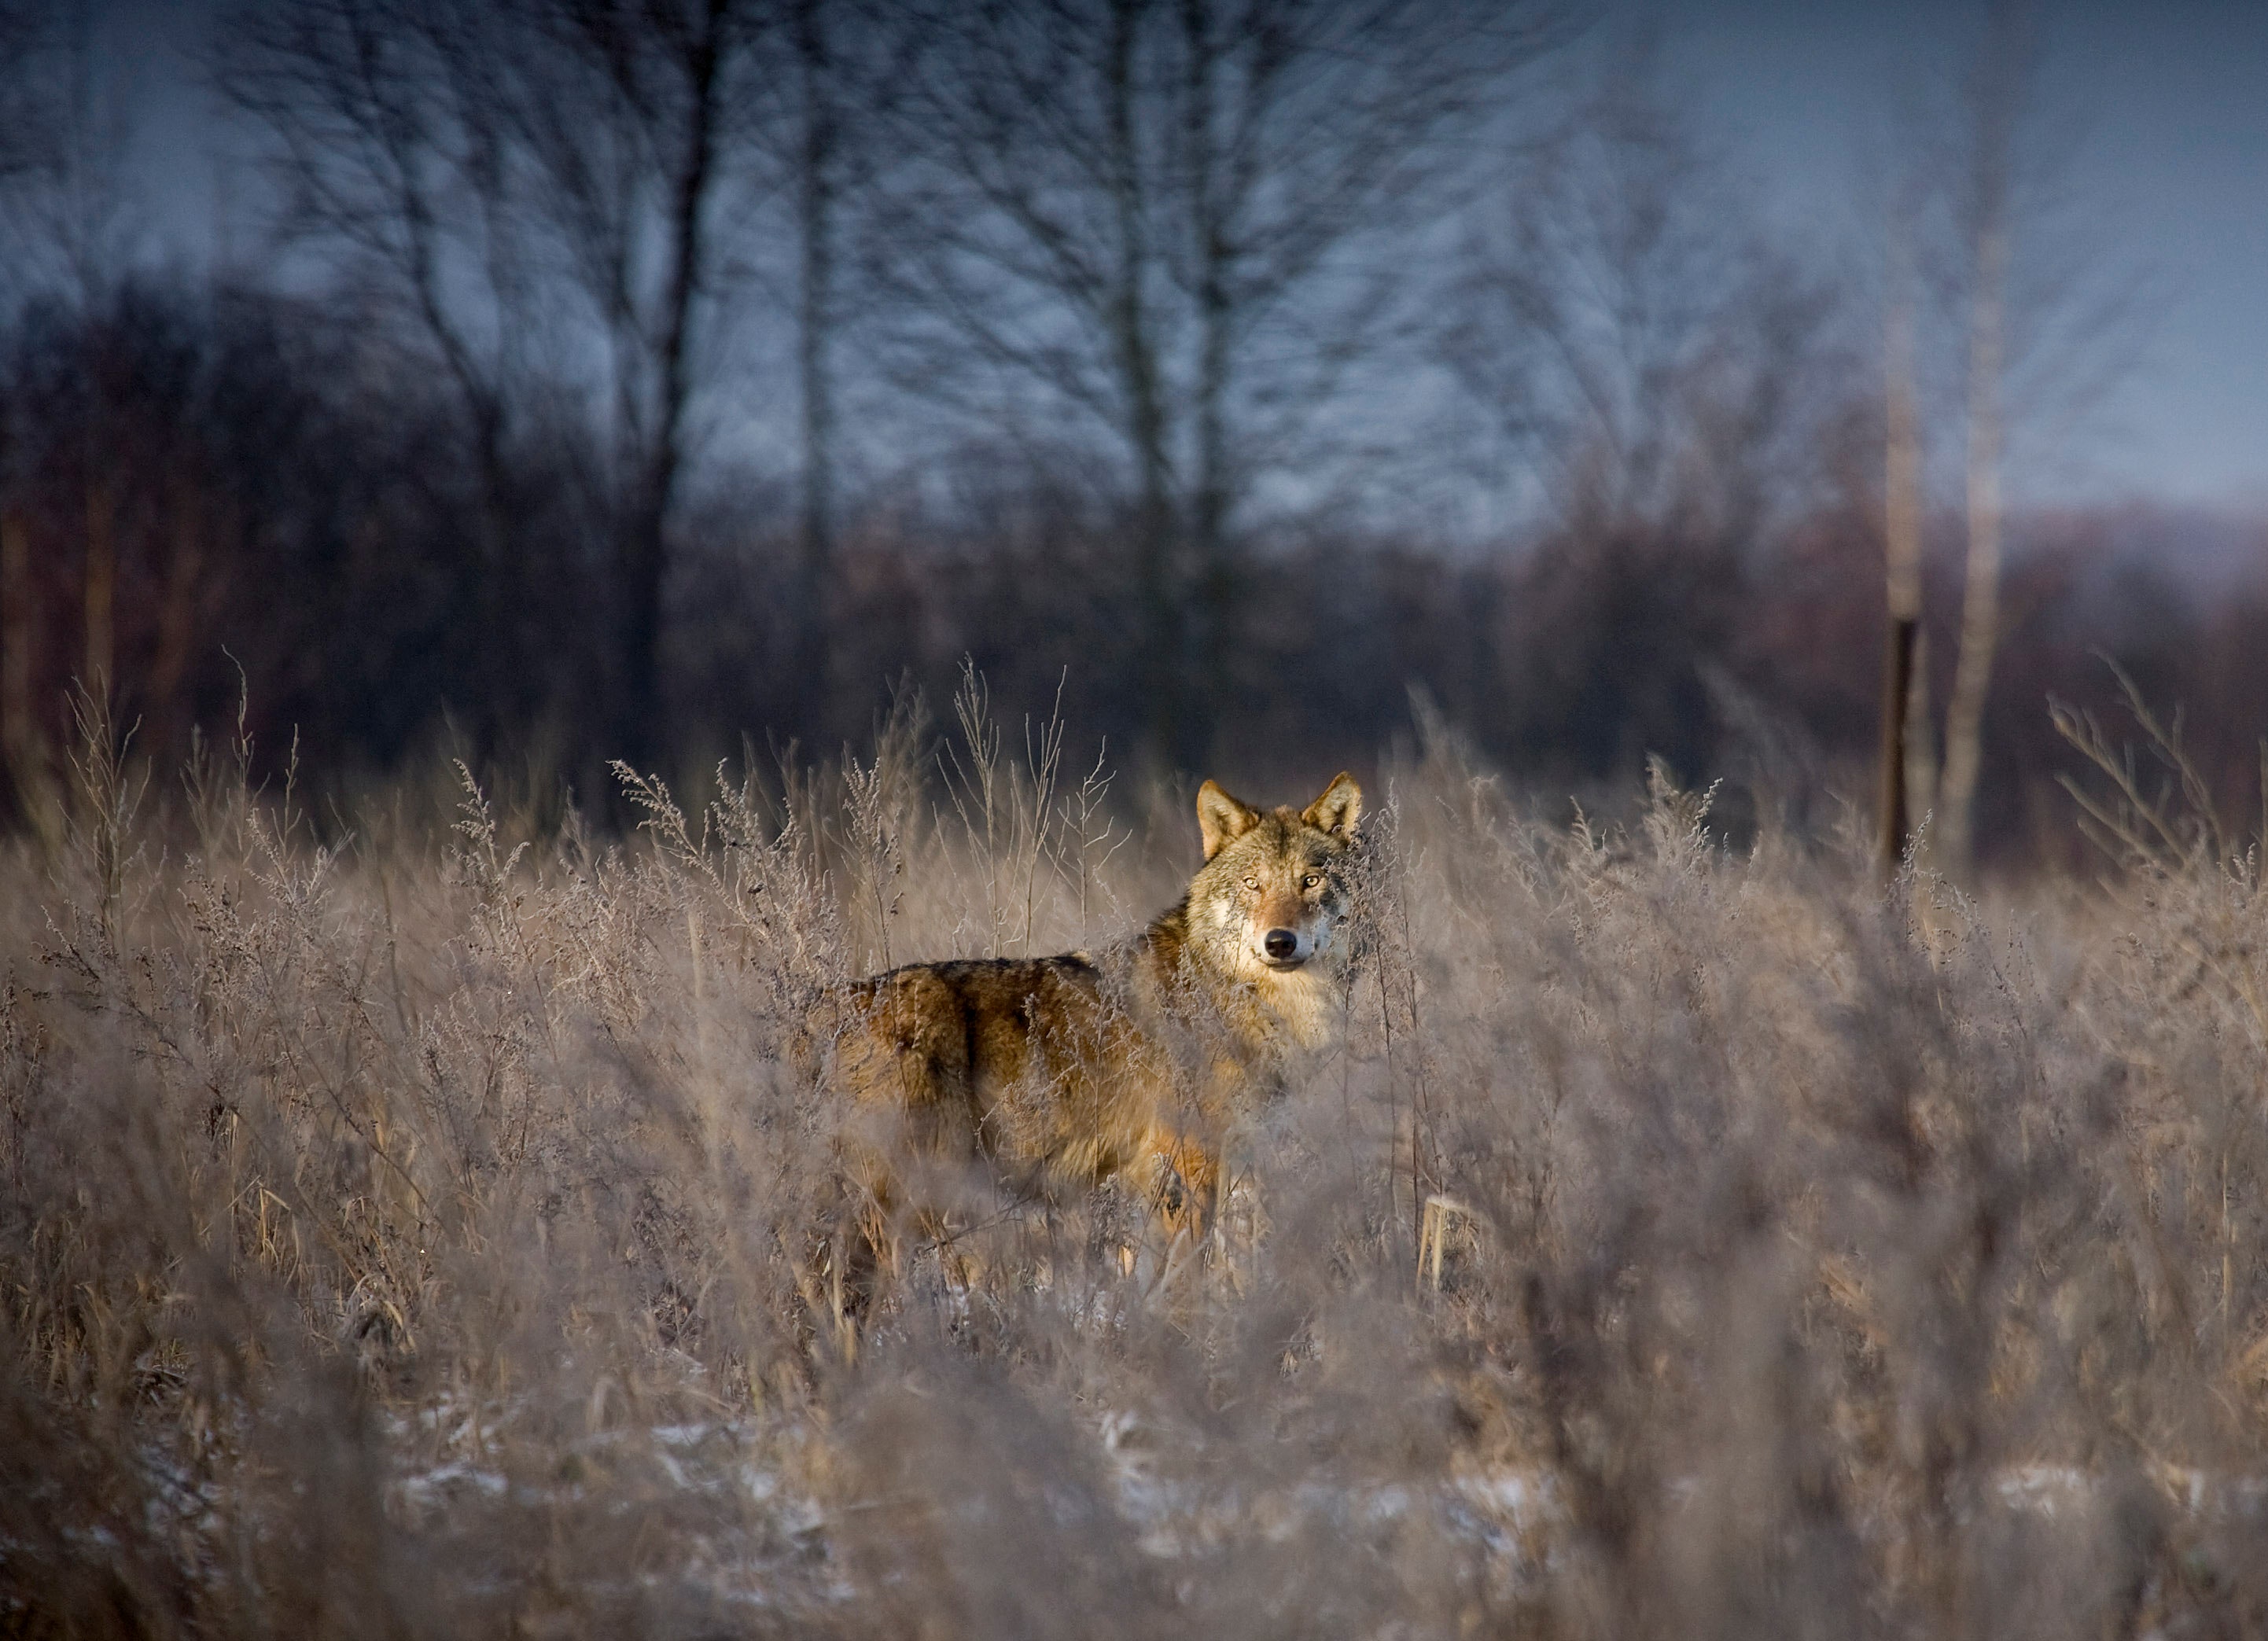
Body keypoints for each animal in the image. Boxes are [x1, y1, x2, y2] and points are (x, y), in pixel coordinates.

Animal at [825, 771, 1360, 1296]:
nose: (1280, 942)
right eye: (1253, 884)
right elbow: (1187, 1278)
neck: (1244, 996)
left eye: (1310, 881)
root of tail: (835, 1003)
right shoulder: (1187, 1167)